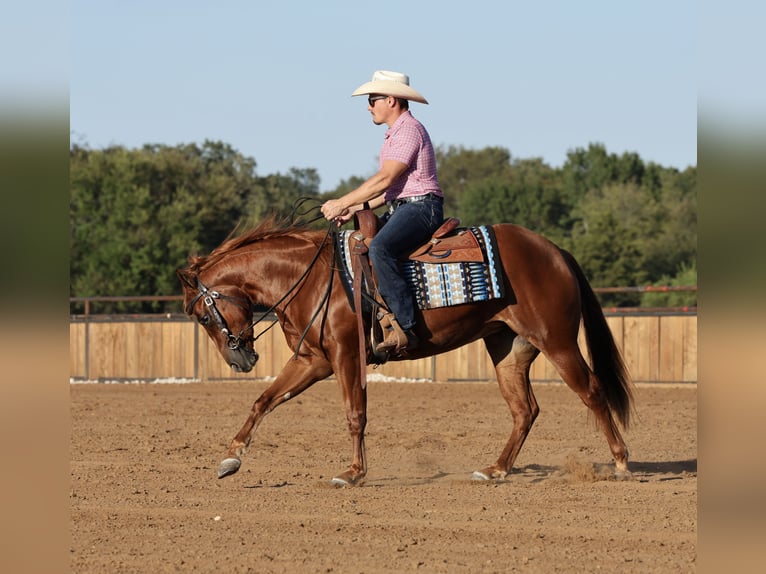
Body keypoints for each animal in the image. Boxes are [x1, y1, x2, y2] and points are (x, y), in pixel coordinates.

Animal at [176, 214, 634, 486]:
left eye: (201, 317)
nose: (240, 359)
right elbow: (265, 400)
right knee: (525, 410)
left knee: (592, 391)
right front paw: (231, 458)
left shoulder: (346, 356)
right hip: (508, 347)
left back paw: (620, 462)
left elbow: (355, 415)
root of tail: (555, 252)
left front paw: (354, 473)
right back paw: (497, 469)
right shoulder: (314, 360)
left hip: (557, 341)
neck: (312, 276)